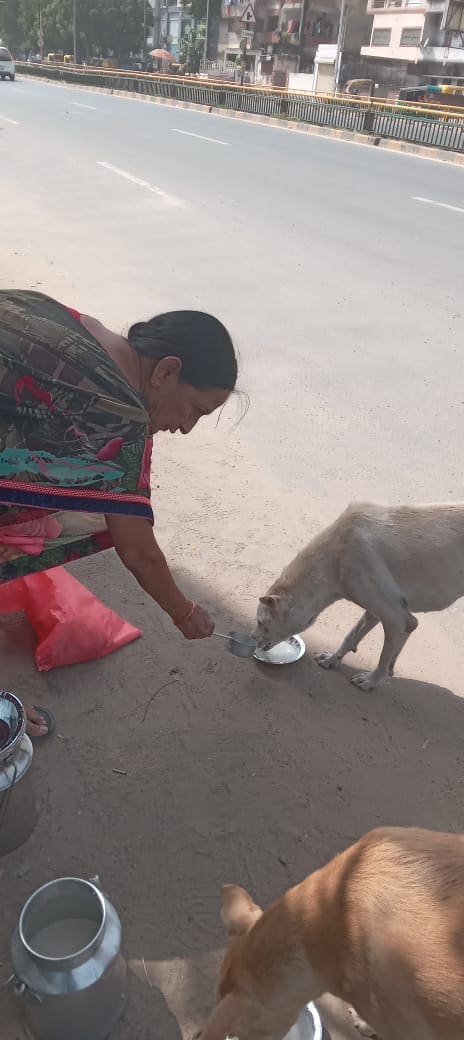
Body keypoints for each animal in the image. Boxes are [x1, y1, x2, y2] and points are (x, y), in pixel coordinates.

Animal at [254, 501, 464, 689]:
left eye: (260, 622)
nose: (252, 638)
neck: (333, 558)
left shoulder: (396, 620)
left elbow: (384, 657)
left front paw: (372, 680)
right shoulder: (376, 609)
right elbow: (352, 635)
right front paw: (332, 659)